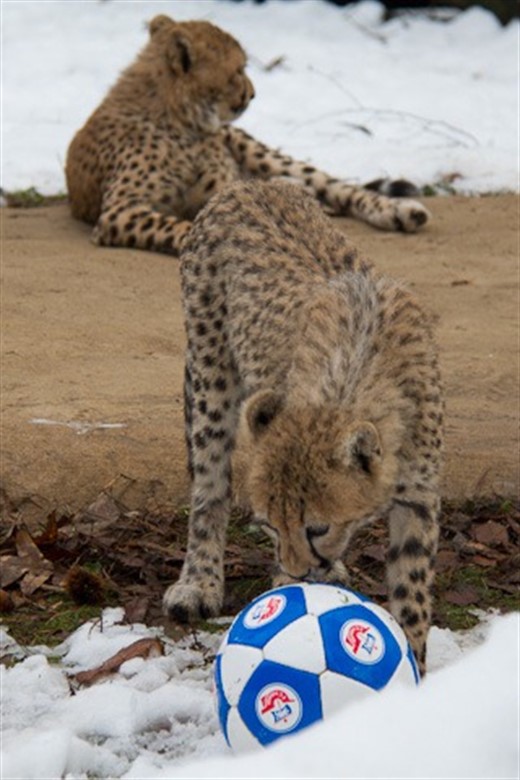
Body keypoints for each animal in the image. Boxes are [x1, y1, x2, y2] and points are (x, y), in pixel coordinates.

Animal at [65, 14, 430, 258]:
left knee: (340, 189)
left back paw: (400, 211)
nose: (253, 94)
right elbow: (185, 226)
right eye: (239, 70)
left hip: (259, 151)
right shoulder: (119, 211)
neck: (179, 116)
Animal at [166, 180, 442, 672]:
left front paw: (414, 666)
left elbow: (411, 588)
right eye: (272, 526)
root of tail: (246, 185)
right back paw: (199, 581)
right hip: (210, 375)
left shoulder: (419, 497)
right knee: (208, 486)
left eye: (317, 528)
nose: (298, 572)